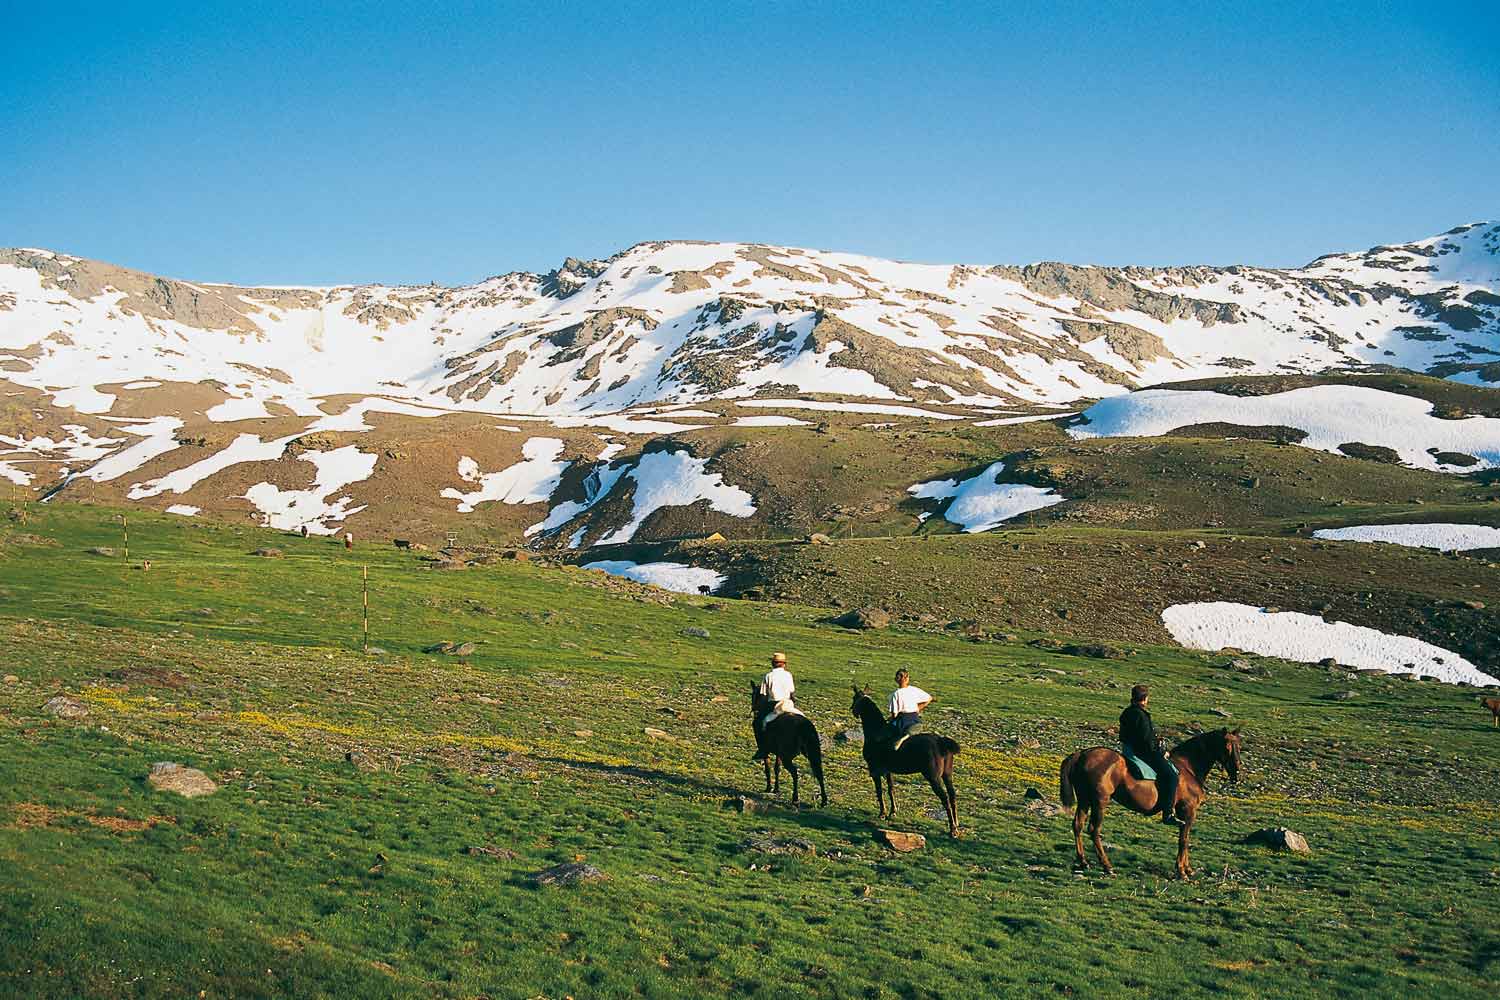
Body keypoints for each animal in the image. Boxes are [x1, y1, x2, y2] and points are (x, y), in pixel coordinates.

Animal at [846, 689, 960, 839]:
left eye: (855, 698)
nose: (852, 710)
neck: (877, 732)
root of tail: (941, 742)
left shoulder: (874, 770)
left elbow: (879, 791)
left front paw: (882, 813)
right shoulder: (887, 771)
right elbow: (891, 789)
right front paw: (893, 811)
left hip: (933, 778)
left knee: (945, 798)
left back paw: (952, 830)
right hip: (947, 775)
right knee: (952, 795)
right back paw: (956, 824)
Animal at [1062, 728, 1248, 875]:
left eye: (1239, 746)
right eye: (1227, 746)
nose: (1237, 773)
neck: (1188, 768)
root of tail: (1082, 754)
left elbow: (1185, 838)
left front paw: (1187, 868)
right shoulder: (1188, 810)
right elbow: (1184, 840)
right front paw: (1182, 871)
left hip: (1085, 800)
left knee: (1077, 825)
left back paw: (1083, 862)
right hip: (1099, 801)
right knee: (1093, 830)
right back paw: (1107, 866)